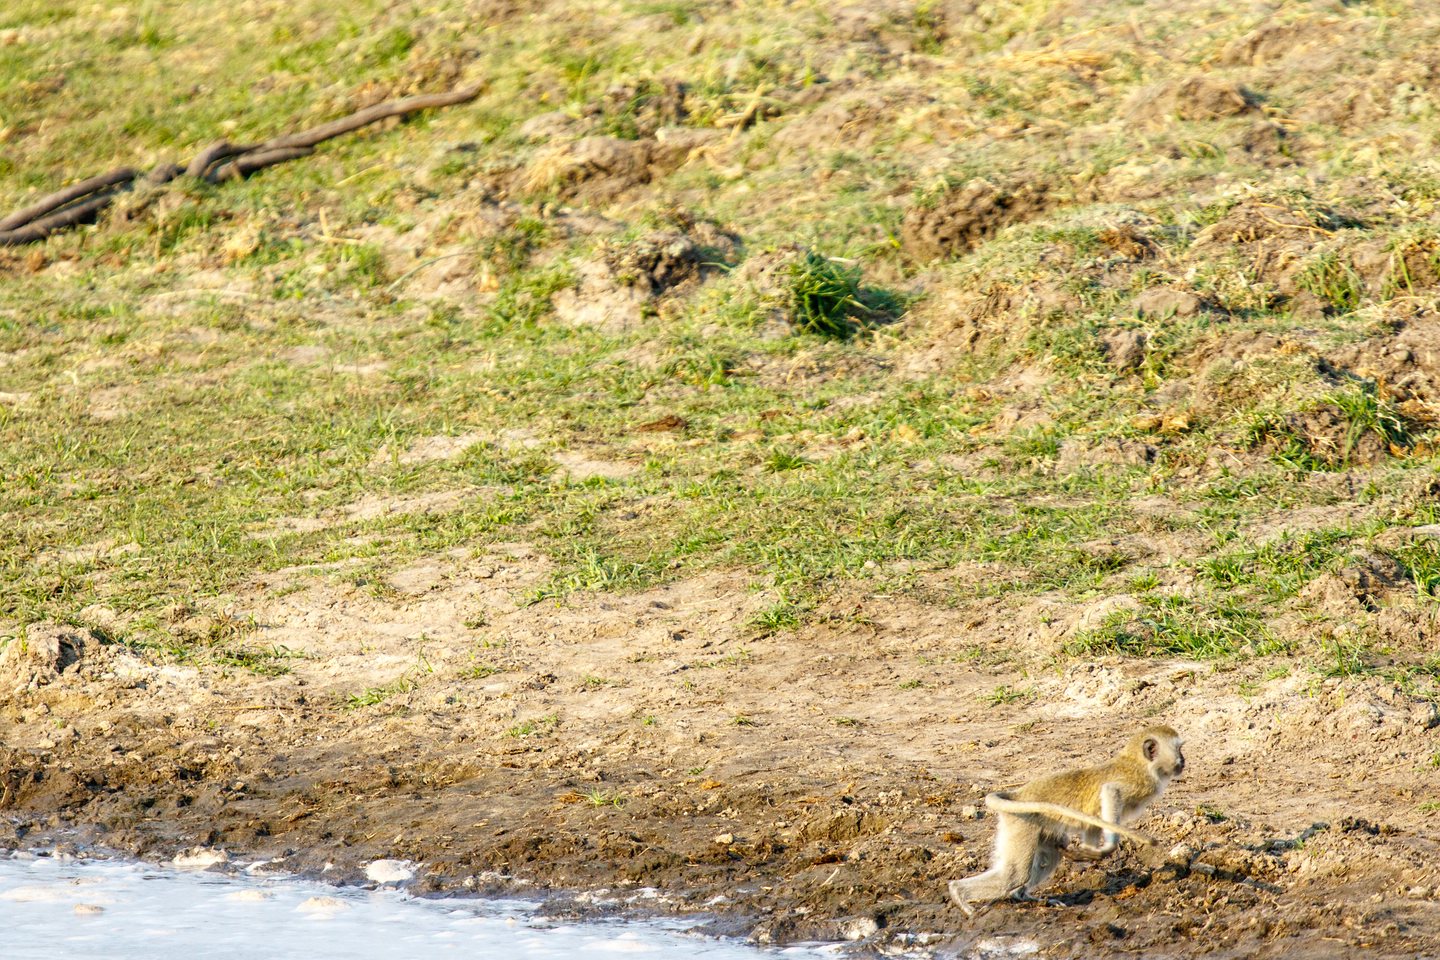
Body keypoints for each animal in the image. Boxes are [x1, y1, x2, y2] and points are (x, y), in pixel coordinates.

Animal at [944, 725, 1180, 921]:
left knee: (1047, 858)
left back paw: (1023, 896)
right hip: (1021, 822)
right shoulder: (1140, 783)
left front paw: (1091, 851)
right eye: (1178, 750)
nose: (1183, 761)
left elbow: (1093, 825)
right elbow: (1110, 791)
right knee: (1014, 874)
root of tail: (1017, 794)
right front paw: (1108, 847)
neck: (1138, 761)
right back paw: (958, 892)